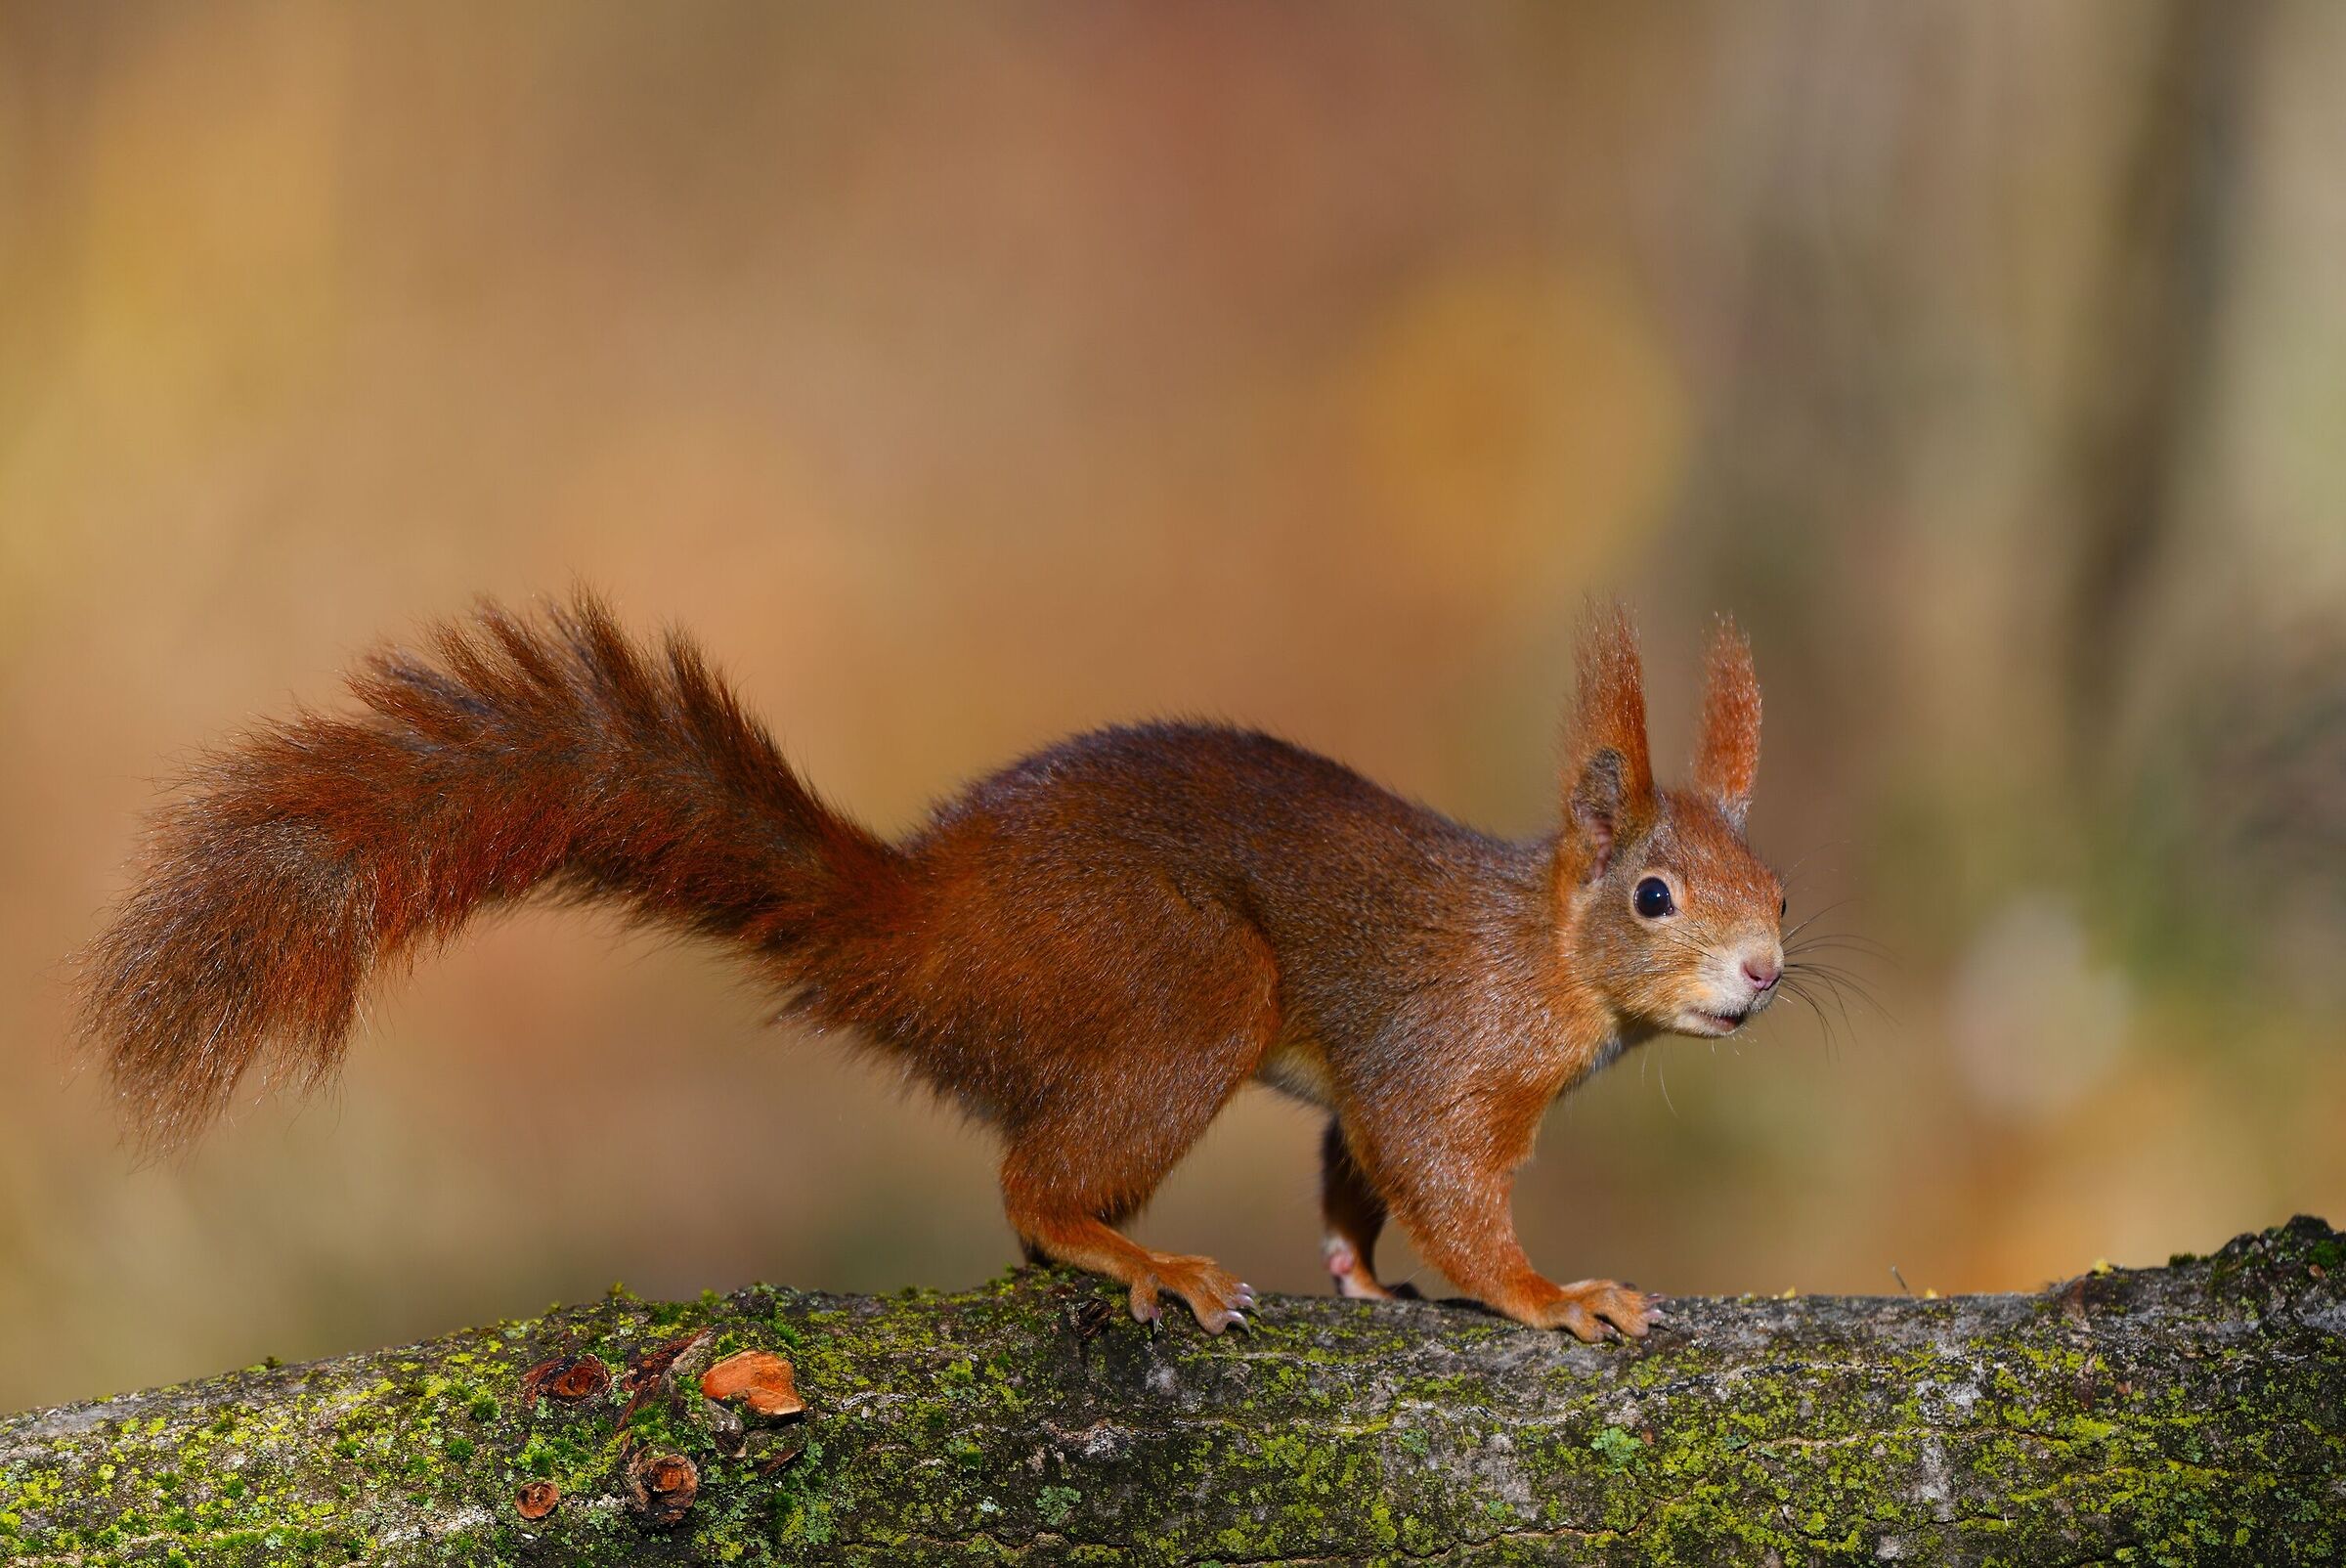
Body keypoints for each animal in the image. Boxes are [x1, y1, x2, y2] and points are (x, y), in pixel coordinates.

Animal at [77, 592, 1786, 1341]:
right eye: (1653, 896)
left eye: (1779, 883)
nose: (1768, 973)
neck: (1541, 952)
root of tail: (927, 927)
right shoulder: (1442, 1052)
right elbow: (1441, 1176)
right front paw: (1550, 1295)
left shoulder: (1369, 1084)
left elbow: (1353, 1170)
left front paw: (1363, 1275)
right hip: (1183, 990)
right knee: (1033, 1197)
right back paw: (1140, 1260)